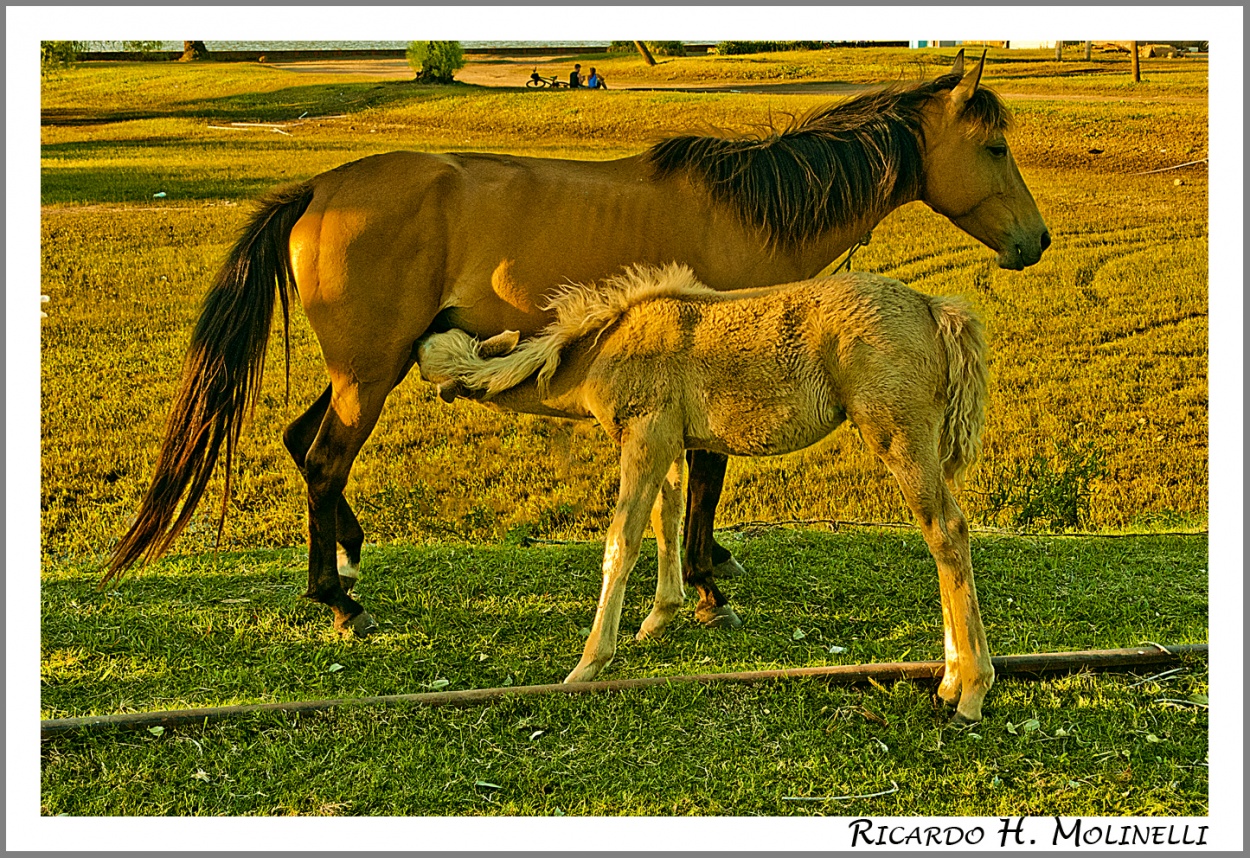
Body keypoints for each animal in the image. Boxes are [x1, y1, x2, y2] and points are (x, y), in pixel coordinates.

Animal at [105, 48, 1045, 637]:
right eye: (997, 145)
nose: (1034, 243)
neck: (748, 207)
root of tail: (319, 189)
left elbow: (700, 485)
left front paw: (708, 568)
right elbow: (708, 480)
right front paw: (706, 585)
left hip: (359, 369)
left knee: (302, 446)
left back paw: (346, 556)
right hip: (367, 374)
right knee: (326, 459)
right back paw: (339, 600)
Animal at [420, 265, 995, 720]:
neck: (605, 347)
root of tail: (932, 308)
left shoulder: (646, 433)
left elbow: (621, 540)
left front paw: (588, 663)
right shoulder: (672, 440)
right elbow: (666, 517)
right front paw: (661, 615)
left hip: (898, 435)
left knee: (946, 530)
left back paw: (970, 690)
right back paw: (948, 679)